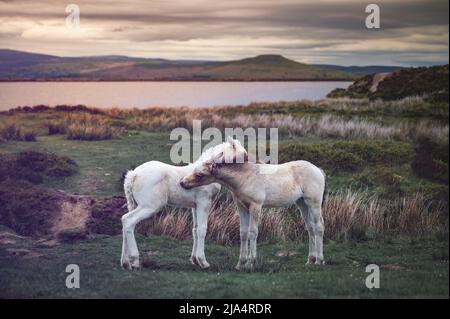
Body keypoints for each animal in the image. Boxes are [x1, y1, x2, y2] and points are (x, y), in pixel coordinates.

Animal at [119, 137, 246, 270]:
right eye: (240, 156)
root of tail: (134, 174)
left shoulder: (195, 206)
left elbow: (195, 230)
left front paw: (195, 260)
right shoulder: (204, 203)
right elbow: (202, 229)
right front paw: (203, 261)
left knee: (125, 223)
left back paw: (125, 262)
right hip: (150, 206)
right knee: (128, 221)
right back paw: (134, 260)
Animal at [180, 154, 326, 272]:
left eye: (200, 174)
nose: (182, 183)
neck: (245, 177)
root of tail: (318, 170)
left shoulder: (256, 206)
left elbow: (253, 232)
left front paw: (251, 263)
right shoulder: (242, 207)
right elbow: (243, 233)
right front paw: (240, 264)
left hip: (313, 203)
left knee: (319, 227)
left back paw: (319, 260)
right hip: (302, 203)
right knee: (310, 228)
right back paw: (310, 260)